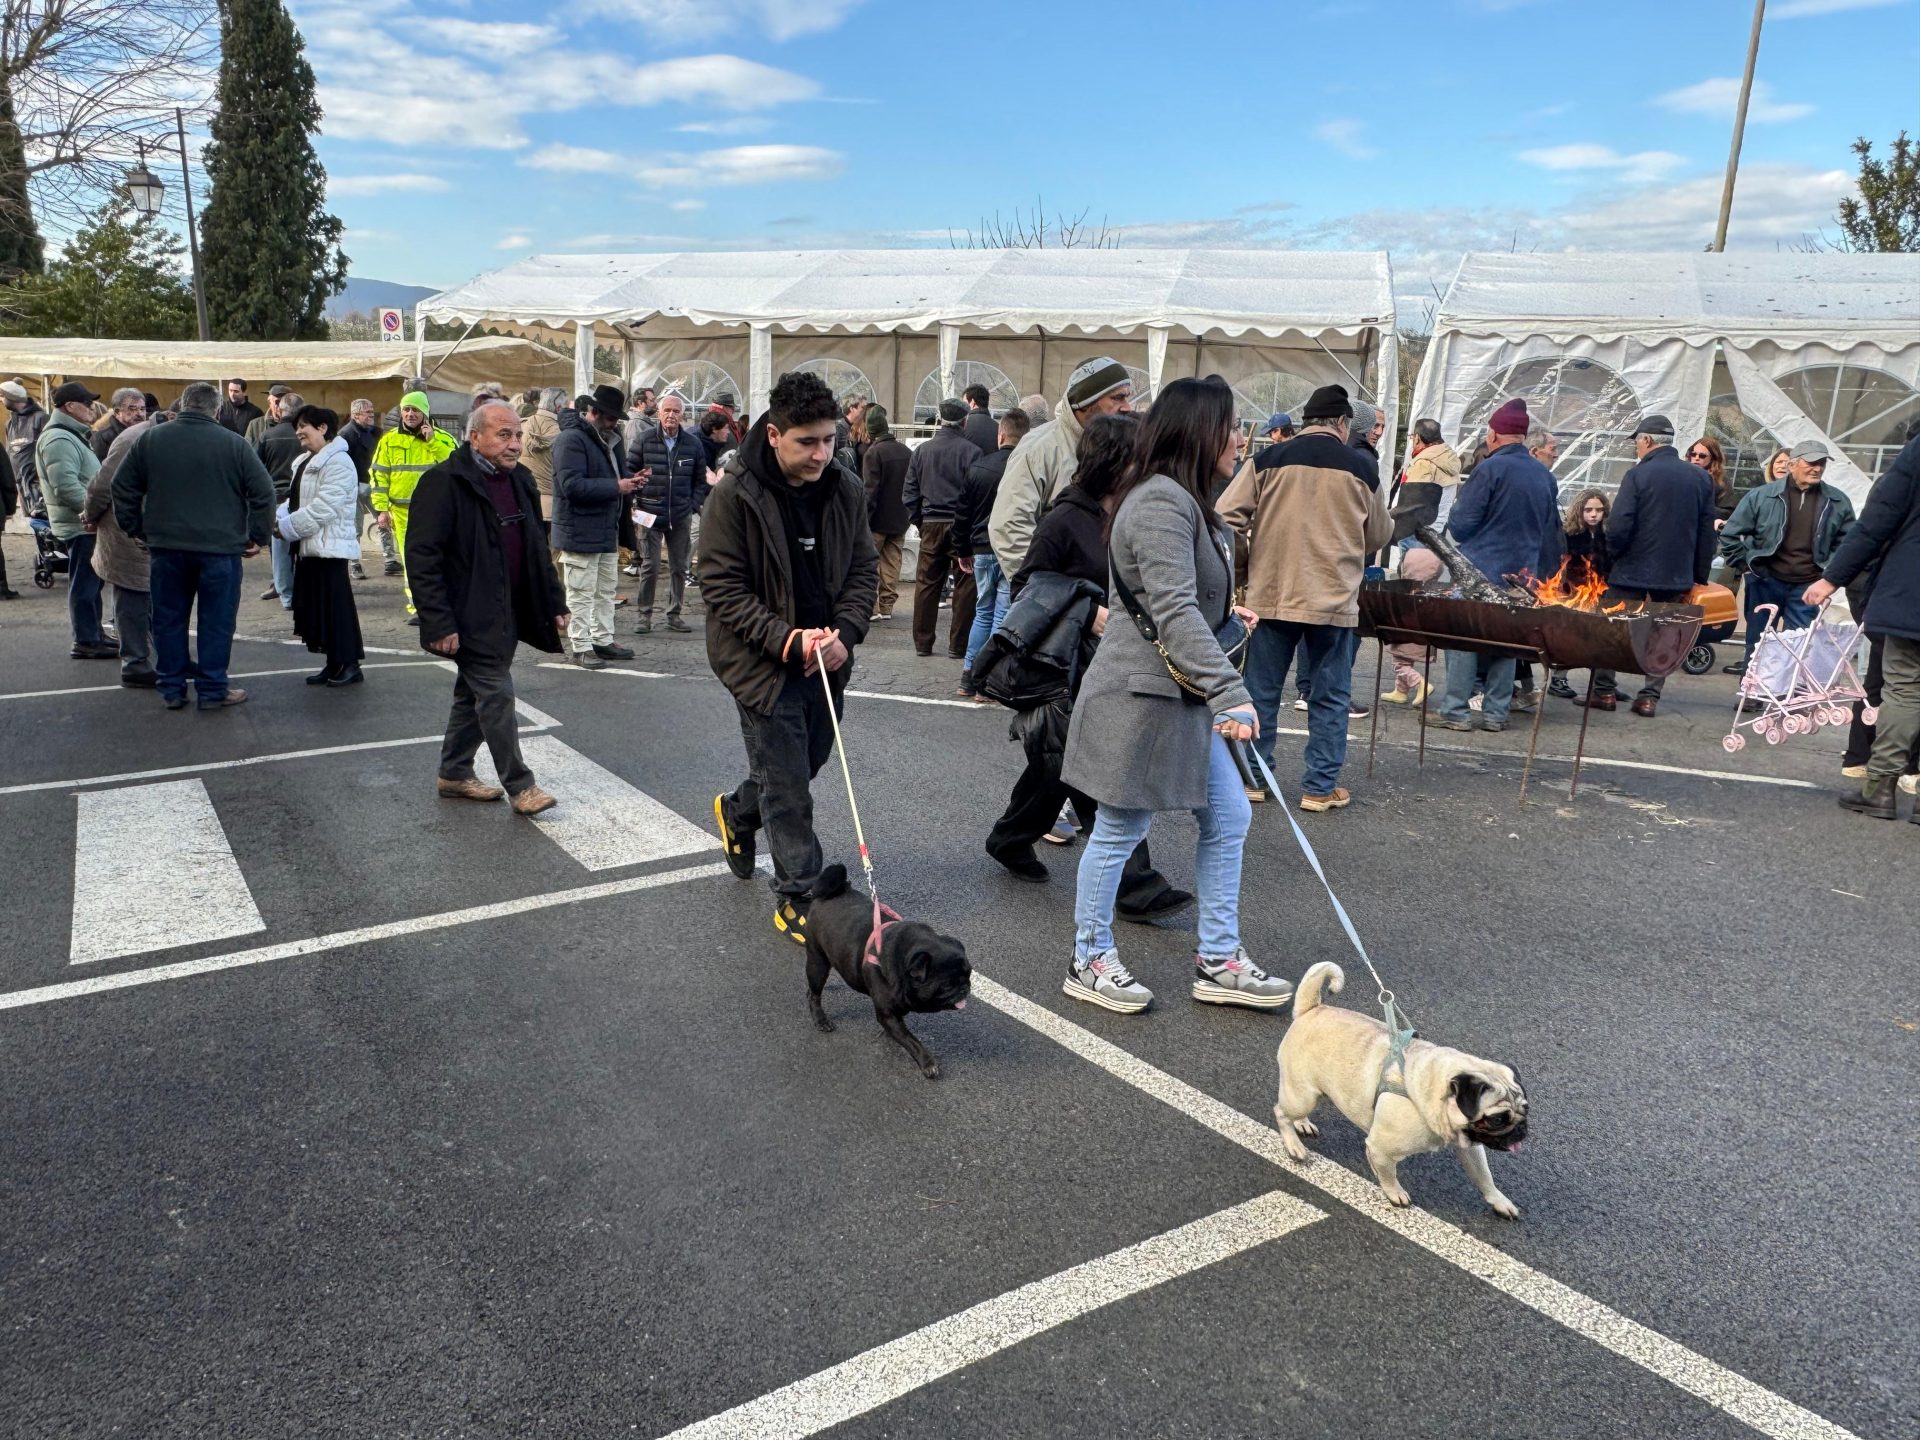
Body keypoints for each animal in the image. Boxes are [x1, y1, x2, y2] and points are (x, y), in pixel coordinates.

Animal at [805, 865, 972, 1079]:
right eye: (947, 985)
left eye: (969, 974)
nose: (965, 988)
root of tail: (832, 891)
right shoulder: (888, 1014)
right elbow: (911, 1040)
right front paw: (927, 1062)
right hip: (818, 963)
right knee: (815, 994)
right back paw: (821, 1020)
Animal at [1275, 962, 1528, 1217]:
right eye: (1496, 1119)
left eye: (1526, 1110)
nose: (1521, 1129)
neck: (1433, 1089)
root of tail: (1311, 1009)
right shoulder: (1381, 1149)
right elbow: (1388, 1174)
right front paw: (1394, 1193)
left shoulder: (1470, 1148)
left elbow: (1484, 1176)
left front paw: (1499, 1200)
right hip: (1303, 1096)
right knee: (1281, 1113)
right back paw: (1294, 1145)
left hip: (1309, 1093)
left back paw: (1302, 1124)